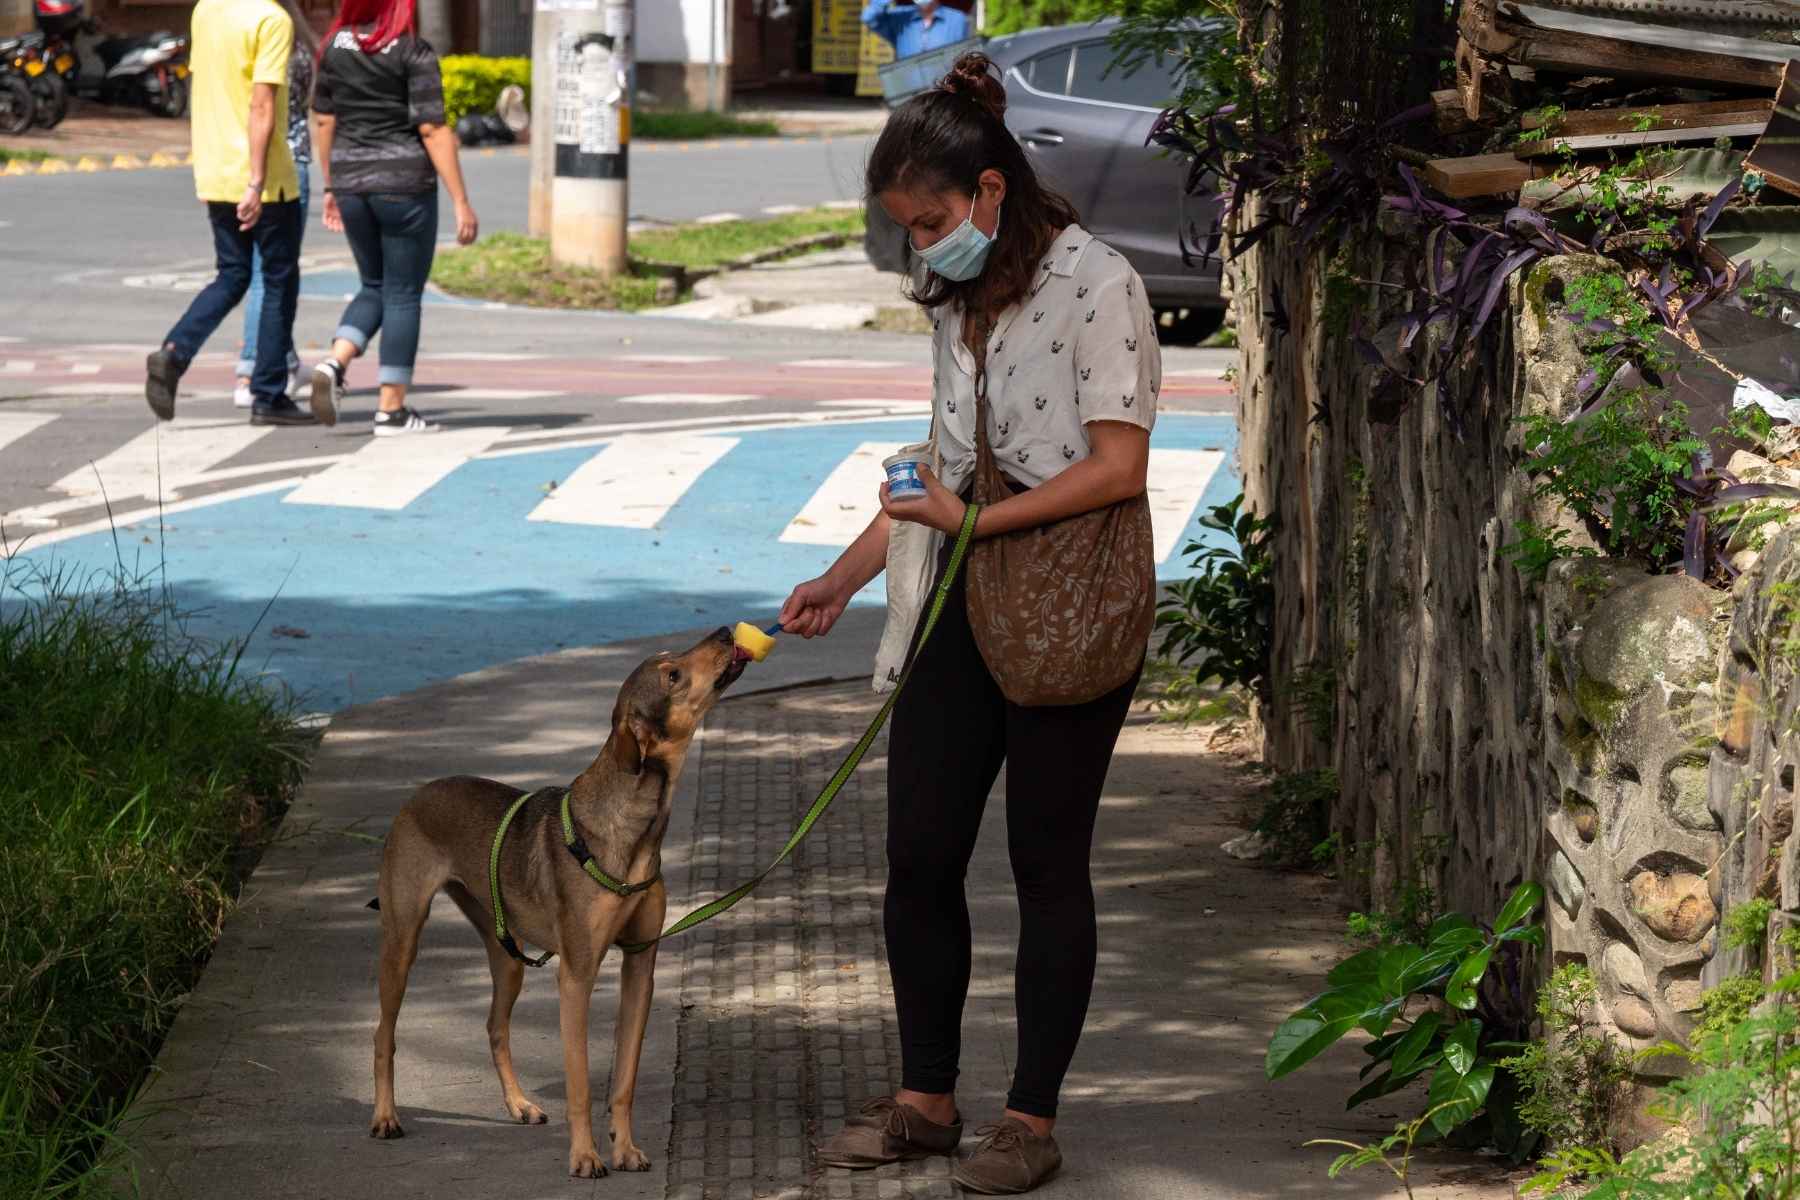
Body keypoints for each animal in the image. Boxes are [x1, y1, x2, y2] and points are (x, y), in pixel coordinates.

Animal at [369, 633, 748, 1180]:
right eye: (672, 674)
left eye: (672, 659)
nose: (723, 631)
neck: (632, 827)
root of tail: (418, 794)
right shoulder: (577, 977)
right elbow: (581, 1084)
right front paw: (585, 1156)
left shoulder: (640, 967)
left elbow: (624, 1079)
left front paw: (624, 1149)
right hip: (403, 942)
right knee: (384, 1034)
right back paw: (385, 1116)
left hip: (507, 957)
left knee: (495, 1028)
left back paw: (519, 1104)